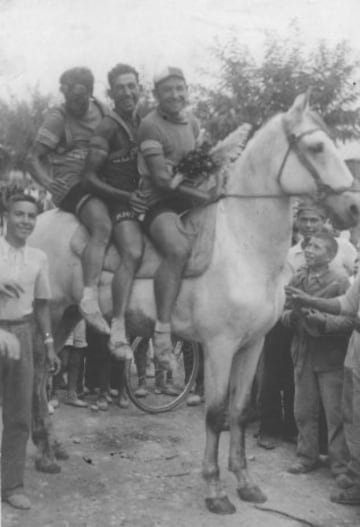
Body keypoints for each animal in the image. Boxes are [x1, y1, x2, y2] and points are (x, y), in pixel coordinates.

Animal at [29, 93, 358, 512]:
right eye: (316, 147)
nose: (354, 208)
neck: (243, 245)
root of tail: (34, 226)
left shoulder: (252, 346)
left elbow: (238, 411)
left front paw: (246, 482)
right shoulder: (219, 347)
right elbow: (215, 414)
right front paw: (215, 489)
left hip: (67, 316)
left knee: (44, 375)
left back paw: (49, 448)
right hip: (49, 314)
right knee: (37, 376)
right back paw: (40, 451)